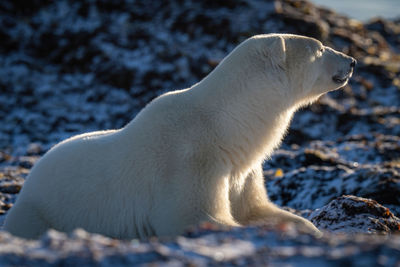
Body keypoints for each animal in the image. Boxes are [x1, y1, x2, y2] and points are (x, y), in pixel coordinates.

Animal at [3, 34, 354, 241]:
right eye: (320, 48)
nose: (351, 61)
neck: (227, 127)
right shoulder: (190, 160)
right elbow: (194, 217)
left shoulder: (240, 171)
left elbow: (255, 209)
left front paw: (309, 229)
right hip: (40, 211)